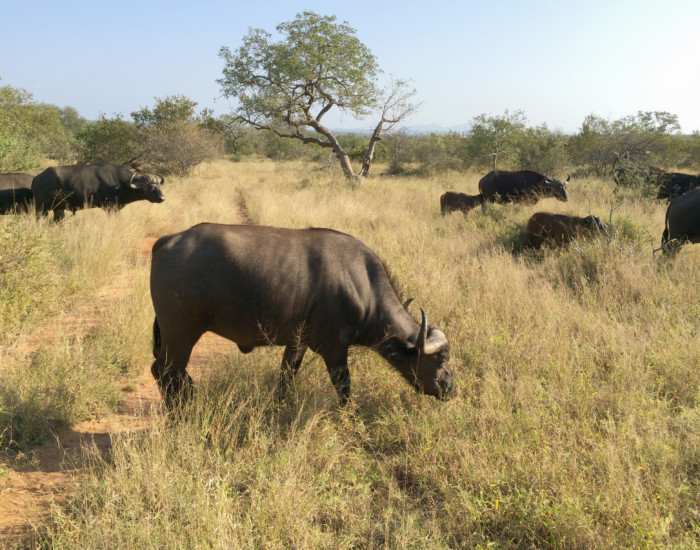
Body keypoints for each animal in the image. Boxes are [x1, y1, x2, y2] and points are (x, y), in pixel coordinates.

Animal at [31, 164, 164, 222]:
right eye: (150, 186)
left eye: (158, 185)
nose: (162, 198)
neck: (121, 184)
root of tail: (38, 178)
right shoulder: (110, 208)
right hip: (41, 208)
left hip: (58, 208)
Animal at [149, 223, 454, 410]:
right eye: (441, 358)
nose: (450, 385)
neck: (362, 284)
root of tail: (168, 241)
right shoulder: (334, 349)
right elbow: (344, 387)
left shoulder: (297, 343)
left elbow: (286, 377)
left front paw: (280, 407)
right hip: (181, 333)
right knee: (164, 372)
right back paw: (179, 414)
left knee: (176, 376)